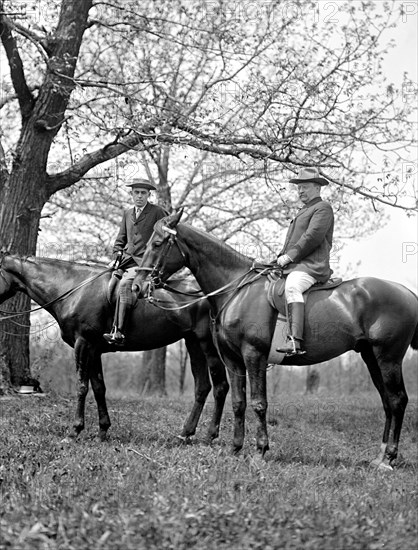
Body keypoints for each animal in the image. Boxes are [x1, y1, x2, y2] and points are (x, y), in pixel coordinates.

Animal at [0, 256, 229, 444]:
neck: (74, 288)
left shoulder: (83, 345)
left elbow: (82, 387)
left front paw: (74, 431)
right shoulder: (94, 350)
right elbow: (99, 388)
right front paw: (102, 430)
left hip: (208, 344)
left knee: (221, 387)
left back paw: (210, 435)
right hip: (194, 343)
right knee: (202, 387)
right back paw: (185, 434)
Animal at [134, 211, 418, 470]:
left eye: (157, 243)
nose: (137, 286)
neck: (236, 289)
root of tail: (407, 293)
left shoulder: (254, 355)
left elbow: (259, 403)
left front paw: (260, 450)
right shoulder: (233, 360)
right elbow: (239, 402)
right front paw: (235, 448)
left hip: (388, 358)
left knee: (397, 400)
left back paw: (389, 458)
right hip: (371, 357)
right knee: (387, 401)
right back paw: (380, 456)